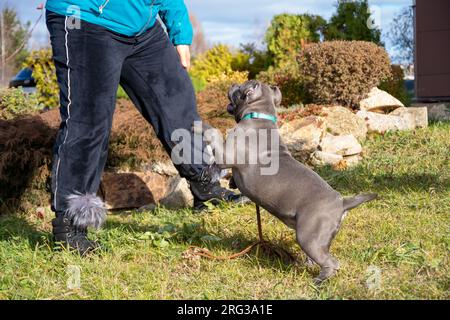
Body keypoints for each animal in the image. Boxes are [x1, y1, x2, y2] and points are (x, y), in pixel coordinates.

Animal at [209, 80, 378, 282]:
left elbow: (216, 138)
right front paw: (232, 183)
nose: (233, 84)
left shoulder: (226, 156)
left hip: (308, 236)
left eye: (239, 88)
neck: (259, 113)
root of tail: (342, 203)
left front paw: (203, 128)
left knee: (331, 262)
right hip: (318, 237)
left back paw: (319, 280)